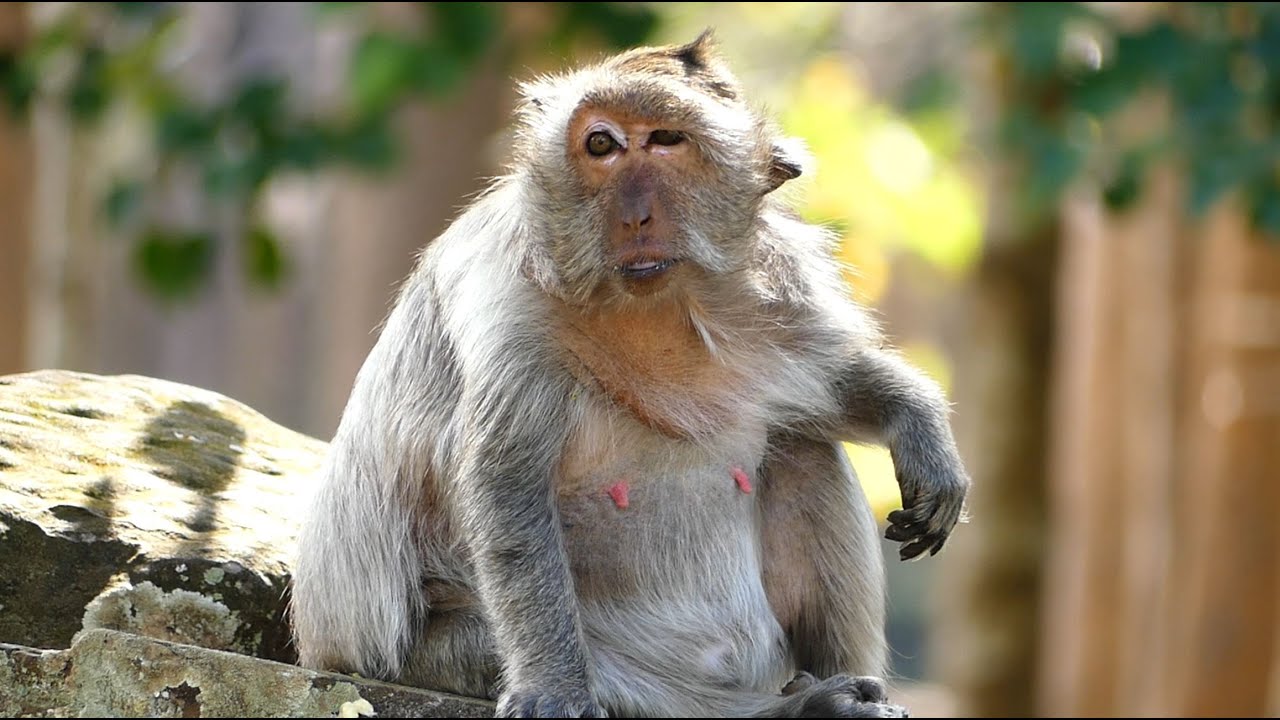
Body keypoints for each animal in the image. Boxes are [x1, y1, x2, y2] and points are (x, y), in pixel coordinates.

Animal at [289, 31, 970, 719]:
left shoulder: (774, 278)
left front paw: (918, 425)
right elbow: (508, 487)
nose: (635, 216)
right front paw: (554, 689)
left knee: (804, 449)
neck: (649, 308)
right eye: (601, 145)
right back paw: (796, 707)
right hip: (432, 646)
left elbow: (830, 381)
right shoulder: (508, 297)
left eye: (666, 140)